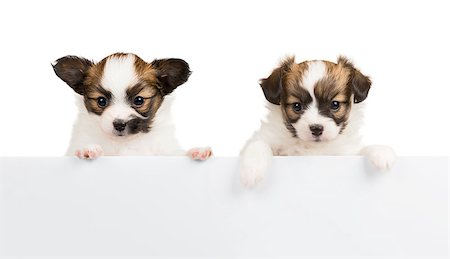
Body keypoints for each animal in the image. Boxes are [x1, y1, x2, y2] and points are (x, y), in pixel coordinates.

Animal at [52, 52, 211, 161]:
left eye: (139, 100)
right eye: (101, 101)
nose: (119, 124)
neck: (125, 143)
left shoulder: (164, 149)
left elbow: (176, 154)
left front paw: (197, 151)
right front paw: (89, 150)